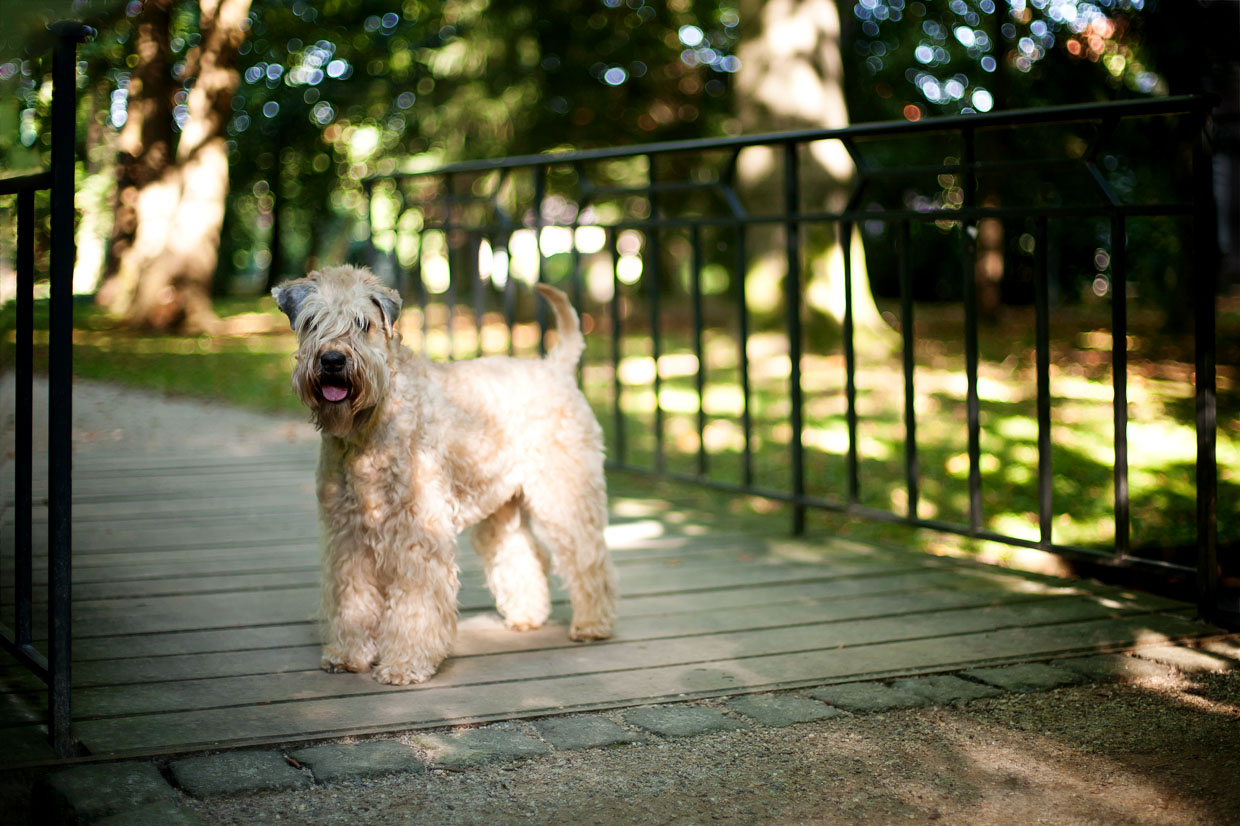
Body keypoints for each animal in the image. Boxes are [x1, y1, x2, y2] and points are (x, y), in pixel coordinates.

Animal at [275, 264, 615, 679]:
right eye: (312, 321)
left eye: (362, 323)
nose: (333, 361)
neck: (369, 426)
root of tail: (556, 369)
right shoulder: (347, 531)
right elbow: (352, 597)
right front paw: (348, 653)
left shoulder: (416, 529)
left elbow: (415, 601)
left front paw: (405, 663)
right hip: (501, 508)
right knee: (523, 552)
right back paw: (527, 616)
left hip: (564, 493)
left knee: (588, 556)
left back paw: (593, 624)